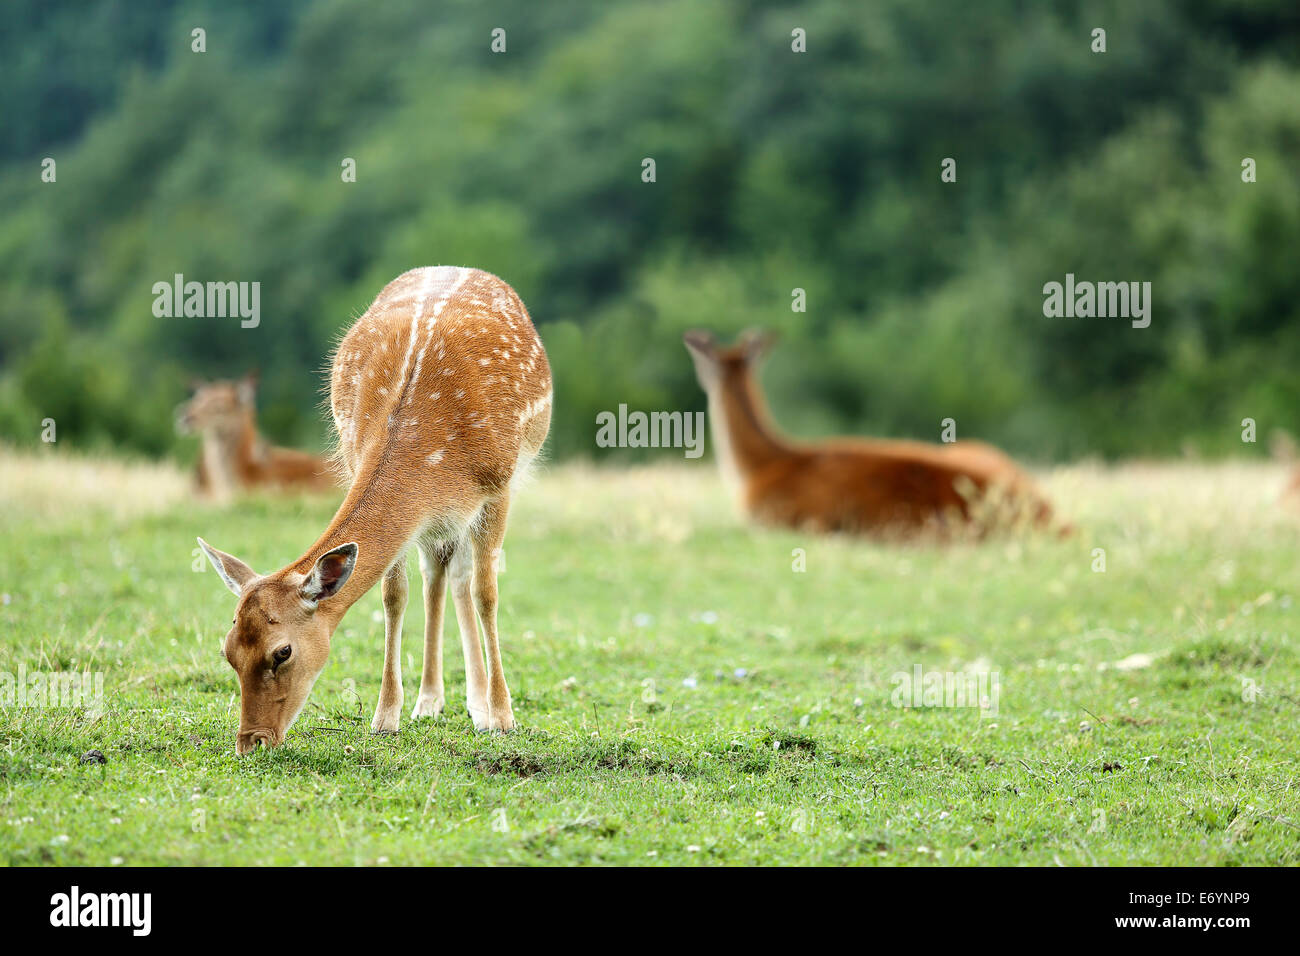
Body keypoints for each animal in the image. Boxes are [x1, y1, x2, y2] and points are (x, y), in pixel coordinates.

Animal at [196, 267, 552, 754]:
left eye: (282, 651)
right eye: (228, 650)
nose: (252, 742)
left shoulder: (498, 488)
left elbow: (487, 593)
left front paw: (502, 717)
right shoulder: (373, 476)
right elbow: (393, 594)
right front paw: (386, 717)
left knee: (462, 579)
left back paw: (478, 706)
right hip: (434, 522)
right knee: (439, 577)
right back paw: (430, 701)